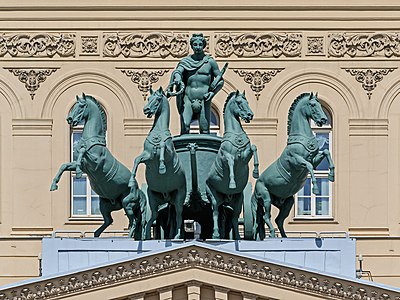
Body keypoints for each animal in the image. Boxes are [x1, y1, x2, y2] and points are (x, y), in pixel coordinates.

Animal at [49, 94, 146, 239]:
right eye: (75, 105)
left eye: (81, 106)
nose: (69, 119)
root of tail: (139, 191)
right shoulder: (83, 166)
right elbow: (64, 165)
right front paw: (54, 184)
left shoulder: (96, 163)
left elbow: (83, 152)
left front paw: (78, 172)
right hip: (105, 205)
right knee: (109, 220)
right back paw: (96, 234)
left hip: (127, 202)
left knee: (134, 220)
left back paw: (128, 236)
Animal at [126, 86, 186, 239]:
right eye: (148, 98)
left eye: (158, 99)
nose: (146, 109)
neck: (158, 132)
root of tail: (168, 197)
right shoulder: (147, 156)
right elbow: (136, 160)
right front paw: (131, 180)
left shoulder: (169, 154)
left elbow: (163, 147)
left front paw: (162, 167)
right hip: (154, 199)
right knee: (153, 216)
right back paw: (147, 235)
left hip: (179, 199)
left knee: (179, 215)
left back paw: (177, 235)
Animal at [206, 91, 260, 239]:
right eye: (239, 102)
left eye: (247, 101)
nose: (250, 115)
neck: (237, 135)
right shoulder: (226, 156)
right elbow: (230, 162)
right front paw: (231, 182)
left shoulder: (246, 155)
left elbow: (254, 148)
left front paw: (256, 171)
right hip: (214, 197)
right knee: (215, 212)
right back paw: (216, 234)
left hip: (238, 200)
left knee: (234, 218)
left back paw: (237, 237)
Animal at [253, 92, 334, 239]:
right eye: (312, 104)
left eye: (320, 104)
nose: (324, 119)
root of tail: (255, 187)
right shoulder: (296, 160)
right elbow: (308, 166)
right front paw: (315, 188)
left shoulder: (315, 159)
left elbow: (325, 152)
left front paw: (331, 174)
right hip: (266, 198)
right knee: (266, 217)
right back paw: (272, 234)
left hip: (287, 202)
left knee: (278, 220)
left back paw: (284, 236)